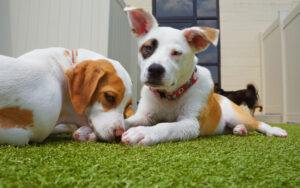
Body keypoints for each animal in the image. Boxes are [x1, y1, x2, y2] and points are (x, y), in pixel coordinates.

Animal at [121, 6, 286, 146]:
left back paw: (274, 130)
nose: (155, 69)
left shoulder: (191, 123)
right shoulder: (144, 116)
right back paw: (239, 130)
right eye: (148, 48)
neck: (169, 96)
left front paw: (143, 132)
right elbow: (127, 120)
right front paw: (117, 125)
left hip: (237, 115)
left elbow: (166, 126)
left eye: (176, 53)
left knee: (258, 123)